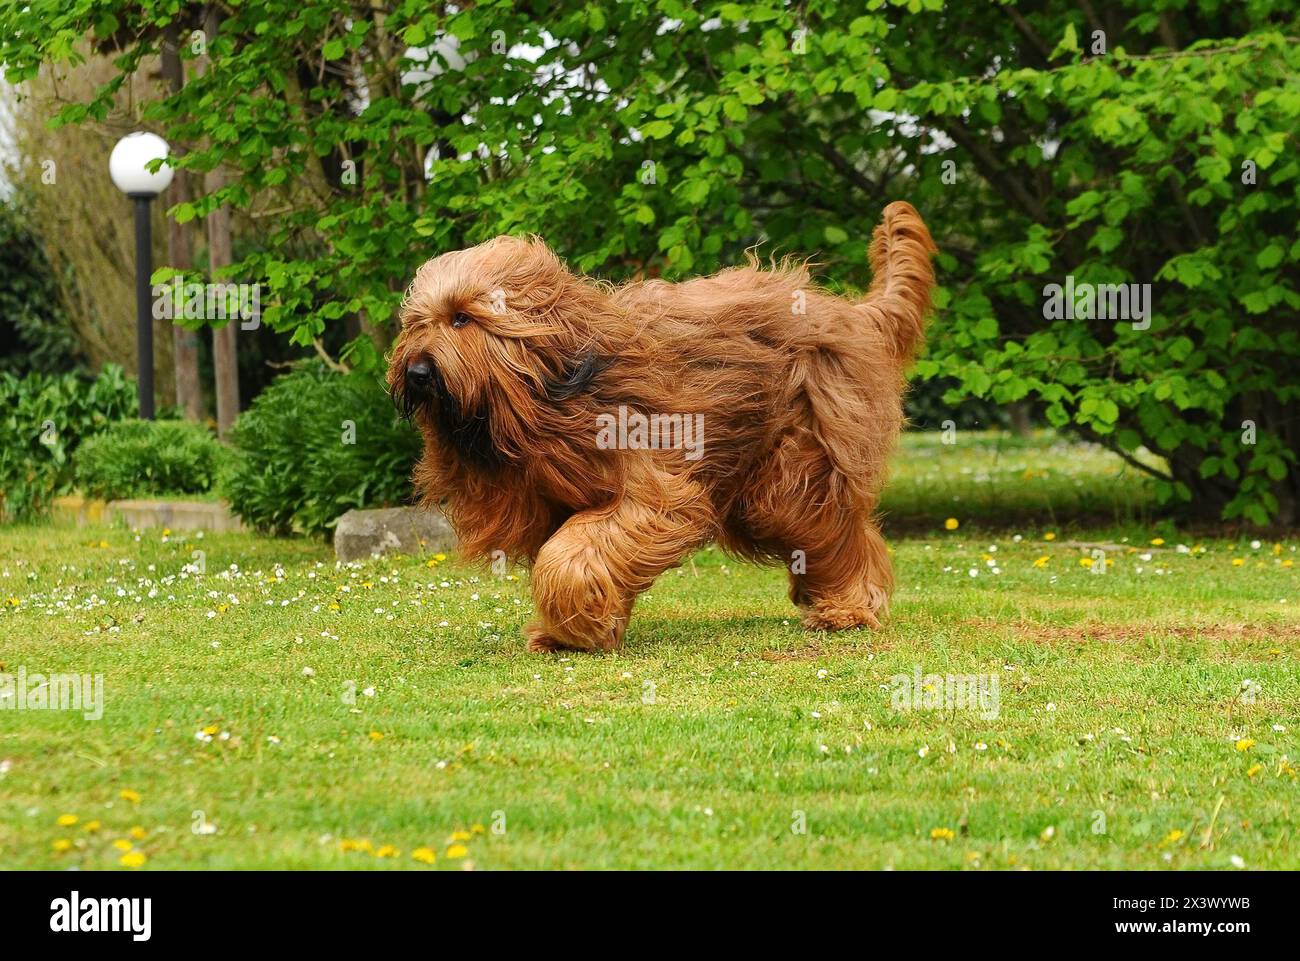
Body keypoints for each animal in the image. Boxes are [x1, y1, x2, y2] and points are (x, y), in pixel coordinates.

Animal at [384, 202, 935, 652]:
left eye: (461, 319)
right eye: (416, 324)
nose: (417, 373)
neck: (558, 381)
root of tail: (854, 314)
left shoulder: (650, 487)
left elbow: (571, 552)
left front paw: (578, 625)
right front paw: (584, 628)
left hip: (795, 465)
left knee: (835, 527)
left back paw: (848, 608)